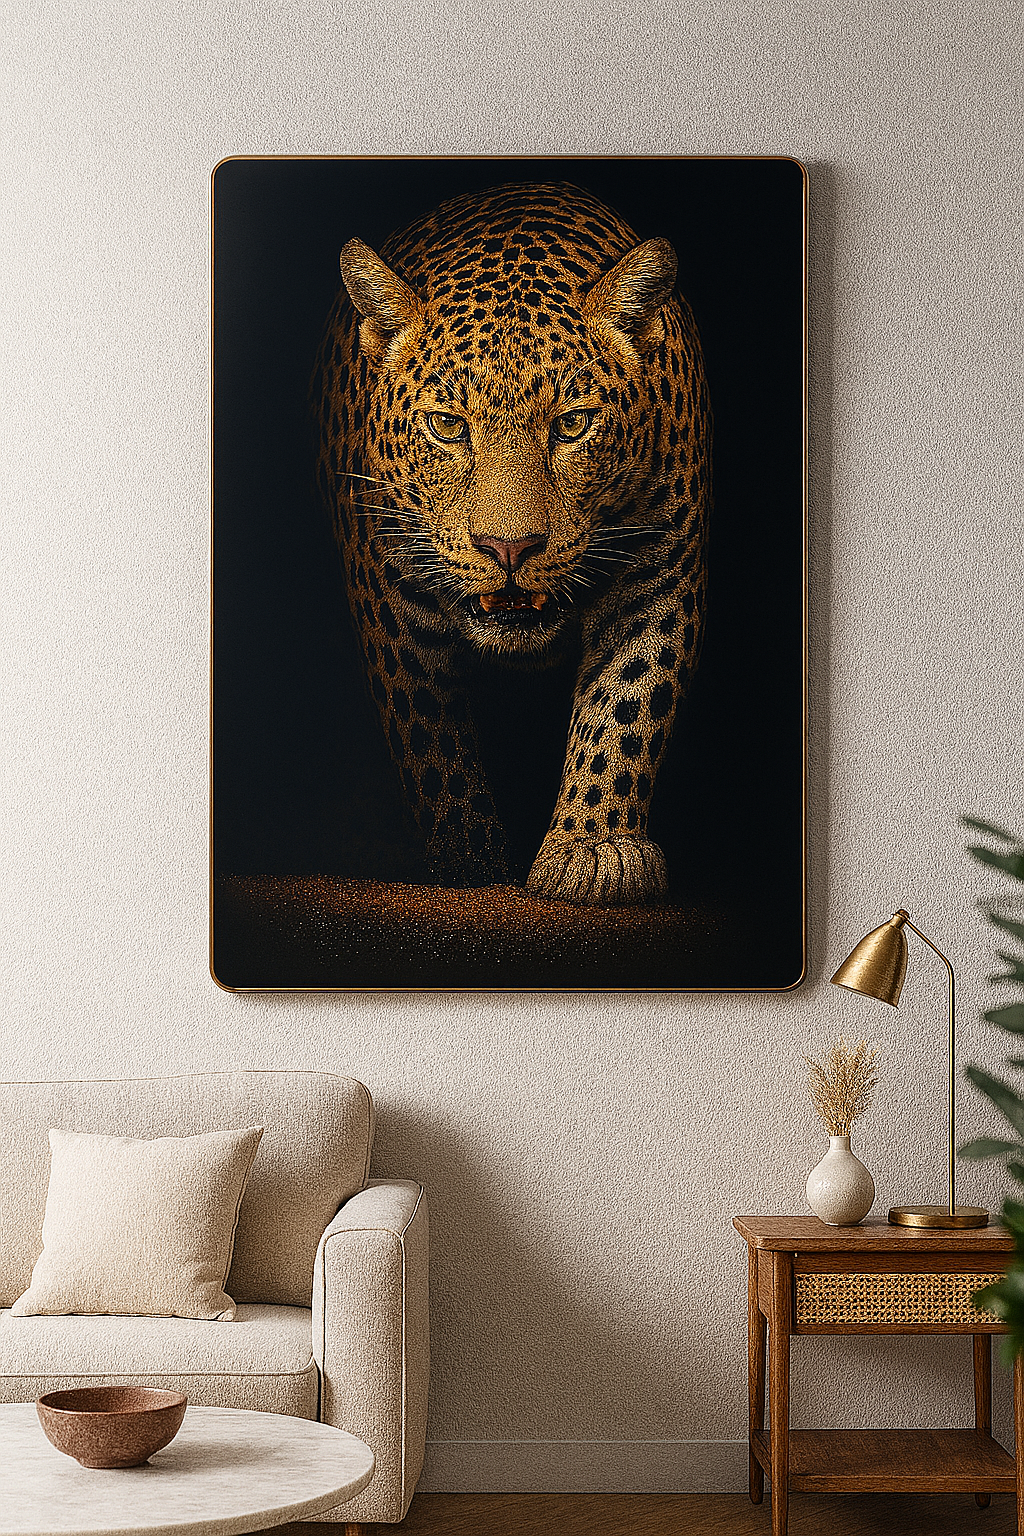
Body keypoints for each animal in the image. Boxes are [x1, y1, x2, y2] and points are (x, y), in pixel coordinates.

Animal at [312, 181, 710, 905]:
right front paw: (472, 865)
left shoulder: (660, 568)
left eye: (573, 425)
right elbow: (432, 738)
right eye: (447, 427)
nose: (509, 548)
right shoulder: (389, 587)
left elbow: (628, 703)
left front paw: (593, 850)